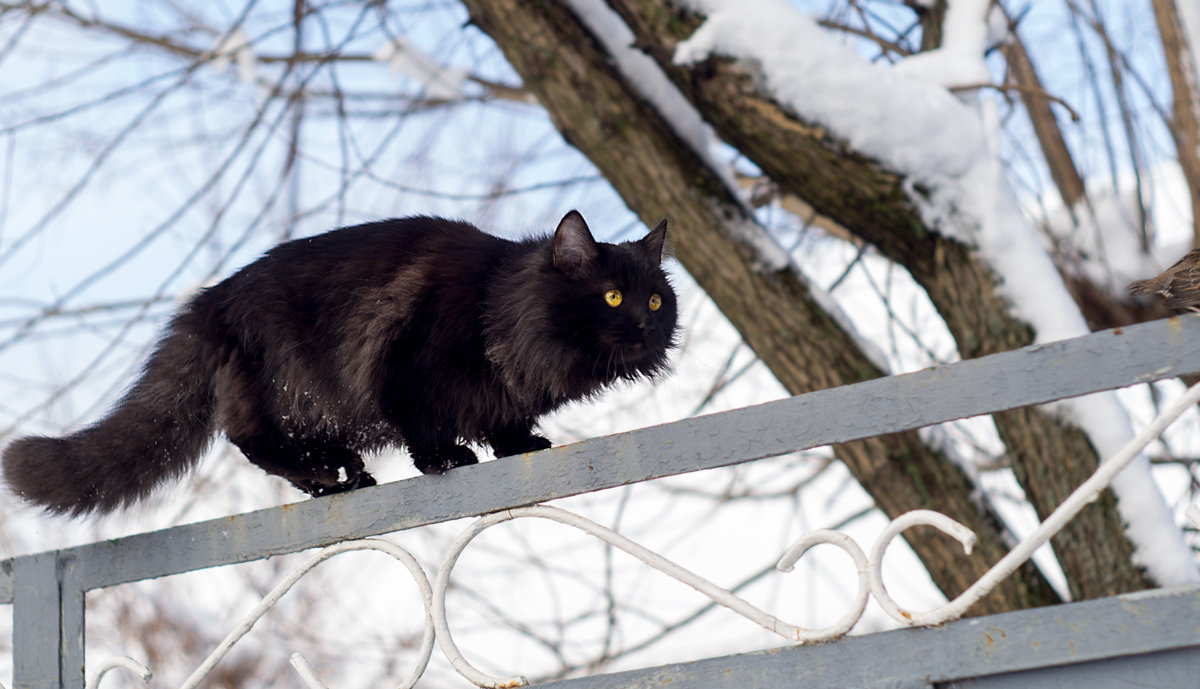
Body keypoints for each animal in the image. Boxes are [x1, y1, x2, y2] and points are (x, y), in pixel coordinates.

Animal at [0, 213, 681, 516]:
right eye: (612, 297)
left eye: (655, 299)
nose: (646, 327)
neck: (500, 308)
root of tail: (212, 300)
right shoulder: (406, 366)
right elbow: (425, 427)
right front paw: (445, 460)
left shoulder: (504, 397)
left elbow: (505, 422)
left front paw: (520, 446)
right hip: (286, 387)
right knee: (251, 441)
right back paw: (334, 476)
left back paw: (339, 475)